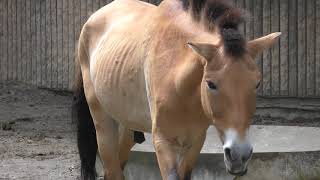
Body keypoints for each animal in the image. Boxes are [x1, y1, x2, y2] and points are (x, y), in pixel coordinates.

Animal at [72, 0, 280, 179]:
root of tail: (93, 18)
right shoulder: (163, 142)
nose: (239, 155)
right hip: (102, 122)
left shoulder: (195, 141)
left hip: (127, 123)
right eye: (211, 84)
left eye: (257, 83)